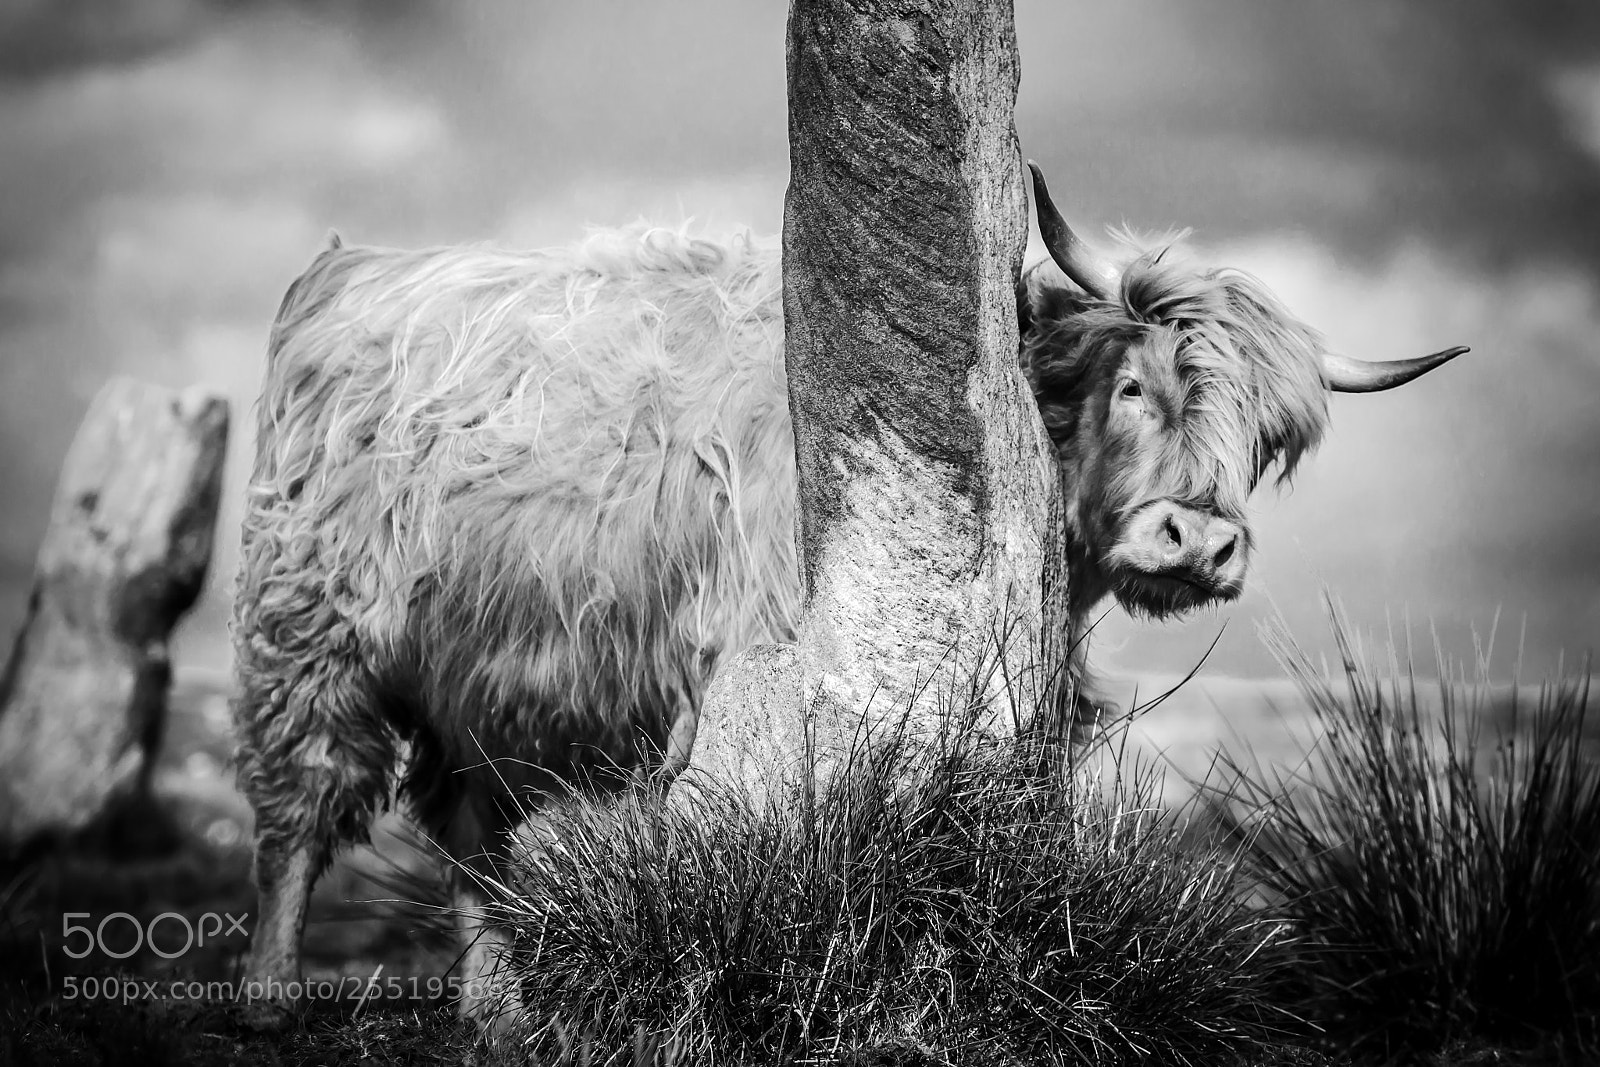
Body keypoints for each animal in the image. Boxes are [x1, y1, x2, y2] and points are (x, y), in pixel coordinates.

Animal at [229, 162, 1464, 1028]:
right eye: (1132, 384)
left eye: (1265, 442)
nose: (1199, 538)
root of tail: (350, 268)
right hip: (308, 623)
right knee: (301, 803)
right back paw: (270, 992)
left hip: (483, 665)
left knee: (466, 820)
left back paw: (495, 1007)